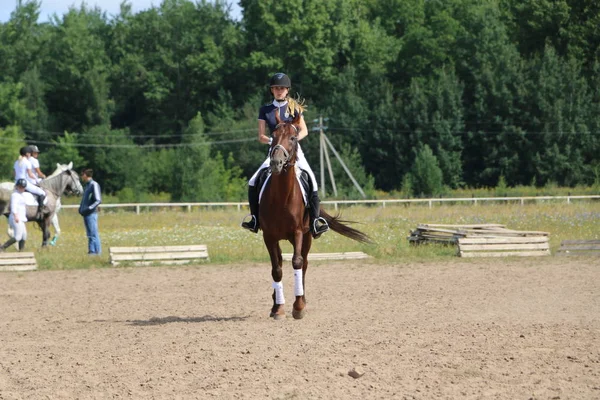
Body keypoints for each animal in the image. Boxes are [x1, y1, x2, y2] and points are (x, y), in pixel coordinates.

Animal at [262, 111, 370, 320]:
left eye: (293, 138)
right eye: (273, 136)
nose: (276, 163)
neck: (281, 197)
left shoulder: (298, 232)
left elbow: (297, 262)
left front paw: (298, 307)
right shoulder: (269, 236)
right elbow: (276, 269)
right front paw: (278, 308)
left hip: (307, 236)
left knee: (303, 264)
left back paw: (301, 300)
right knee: (280, 263)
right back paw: (276, 302)